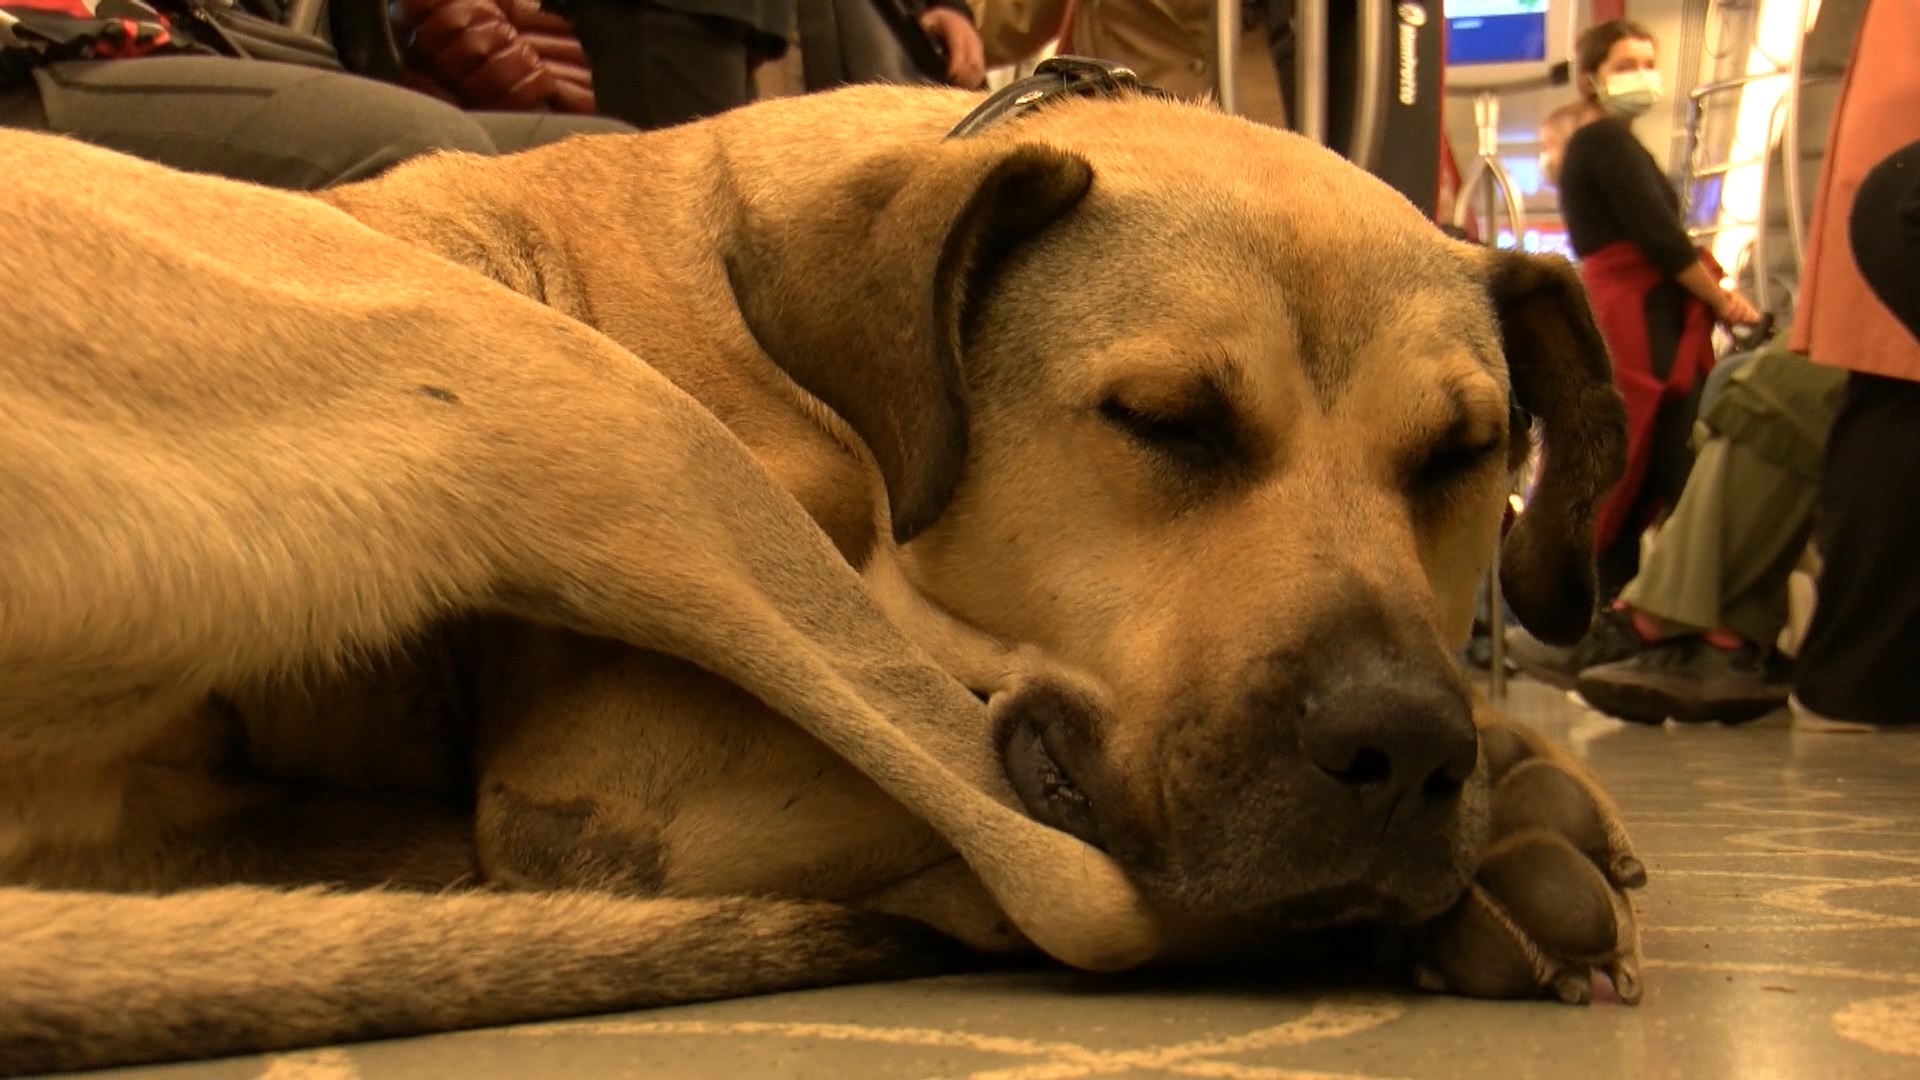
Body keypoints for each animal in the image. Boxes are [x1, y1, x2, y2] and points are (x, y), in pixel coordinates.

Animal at [7, 71, 1643, 1068]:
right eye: (1166, 420)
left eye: (1464, 454)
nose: (1407, 750)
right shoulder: (626, 770)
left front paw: (1511, 767)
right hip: (609, 427)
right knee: (1072, 887)